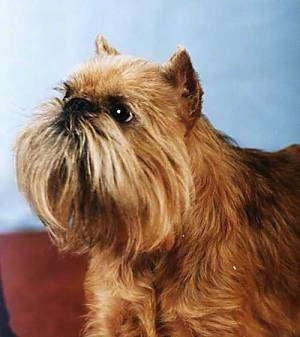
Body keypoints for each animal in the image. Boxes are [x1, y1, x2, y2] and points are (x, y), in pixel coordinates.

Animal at [15, 35, 298, 334]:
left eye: (120, 112)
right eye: (67, 94)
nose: (76, 104)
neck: (157, 246)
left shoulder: (214, 321)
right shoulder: (112, 314)